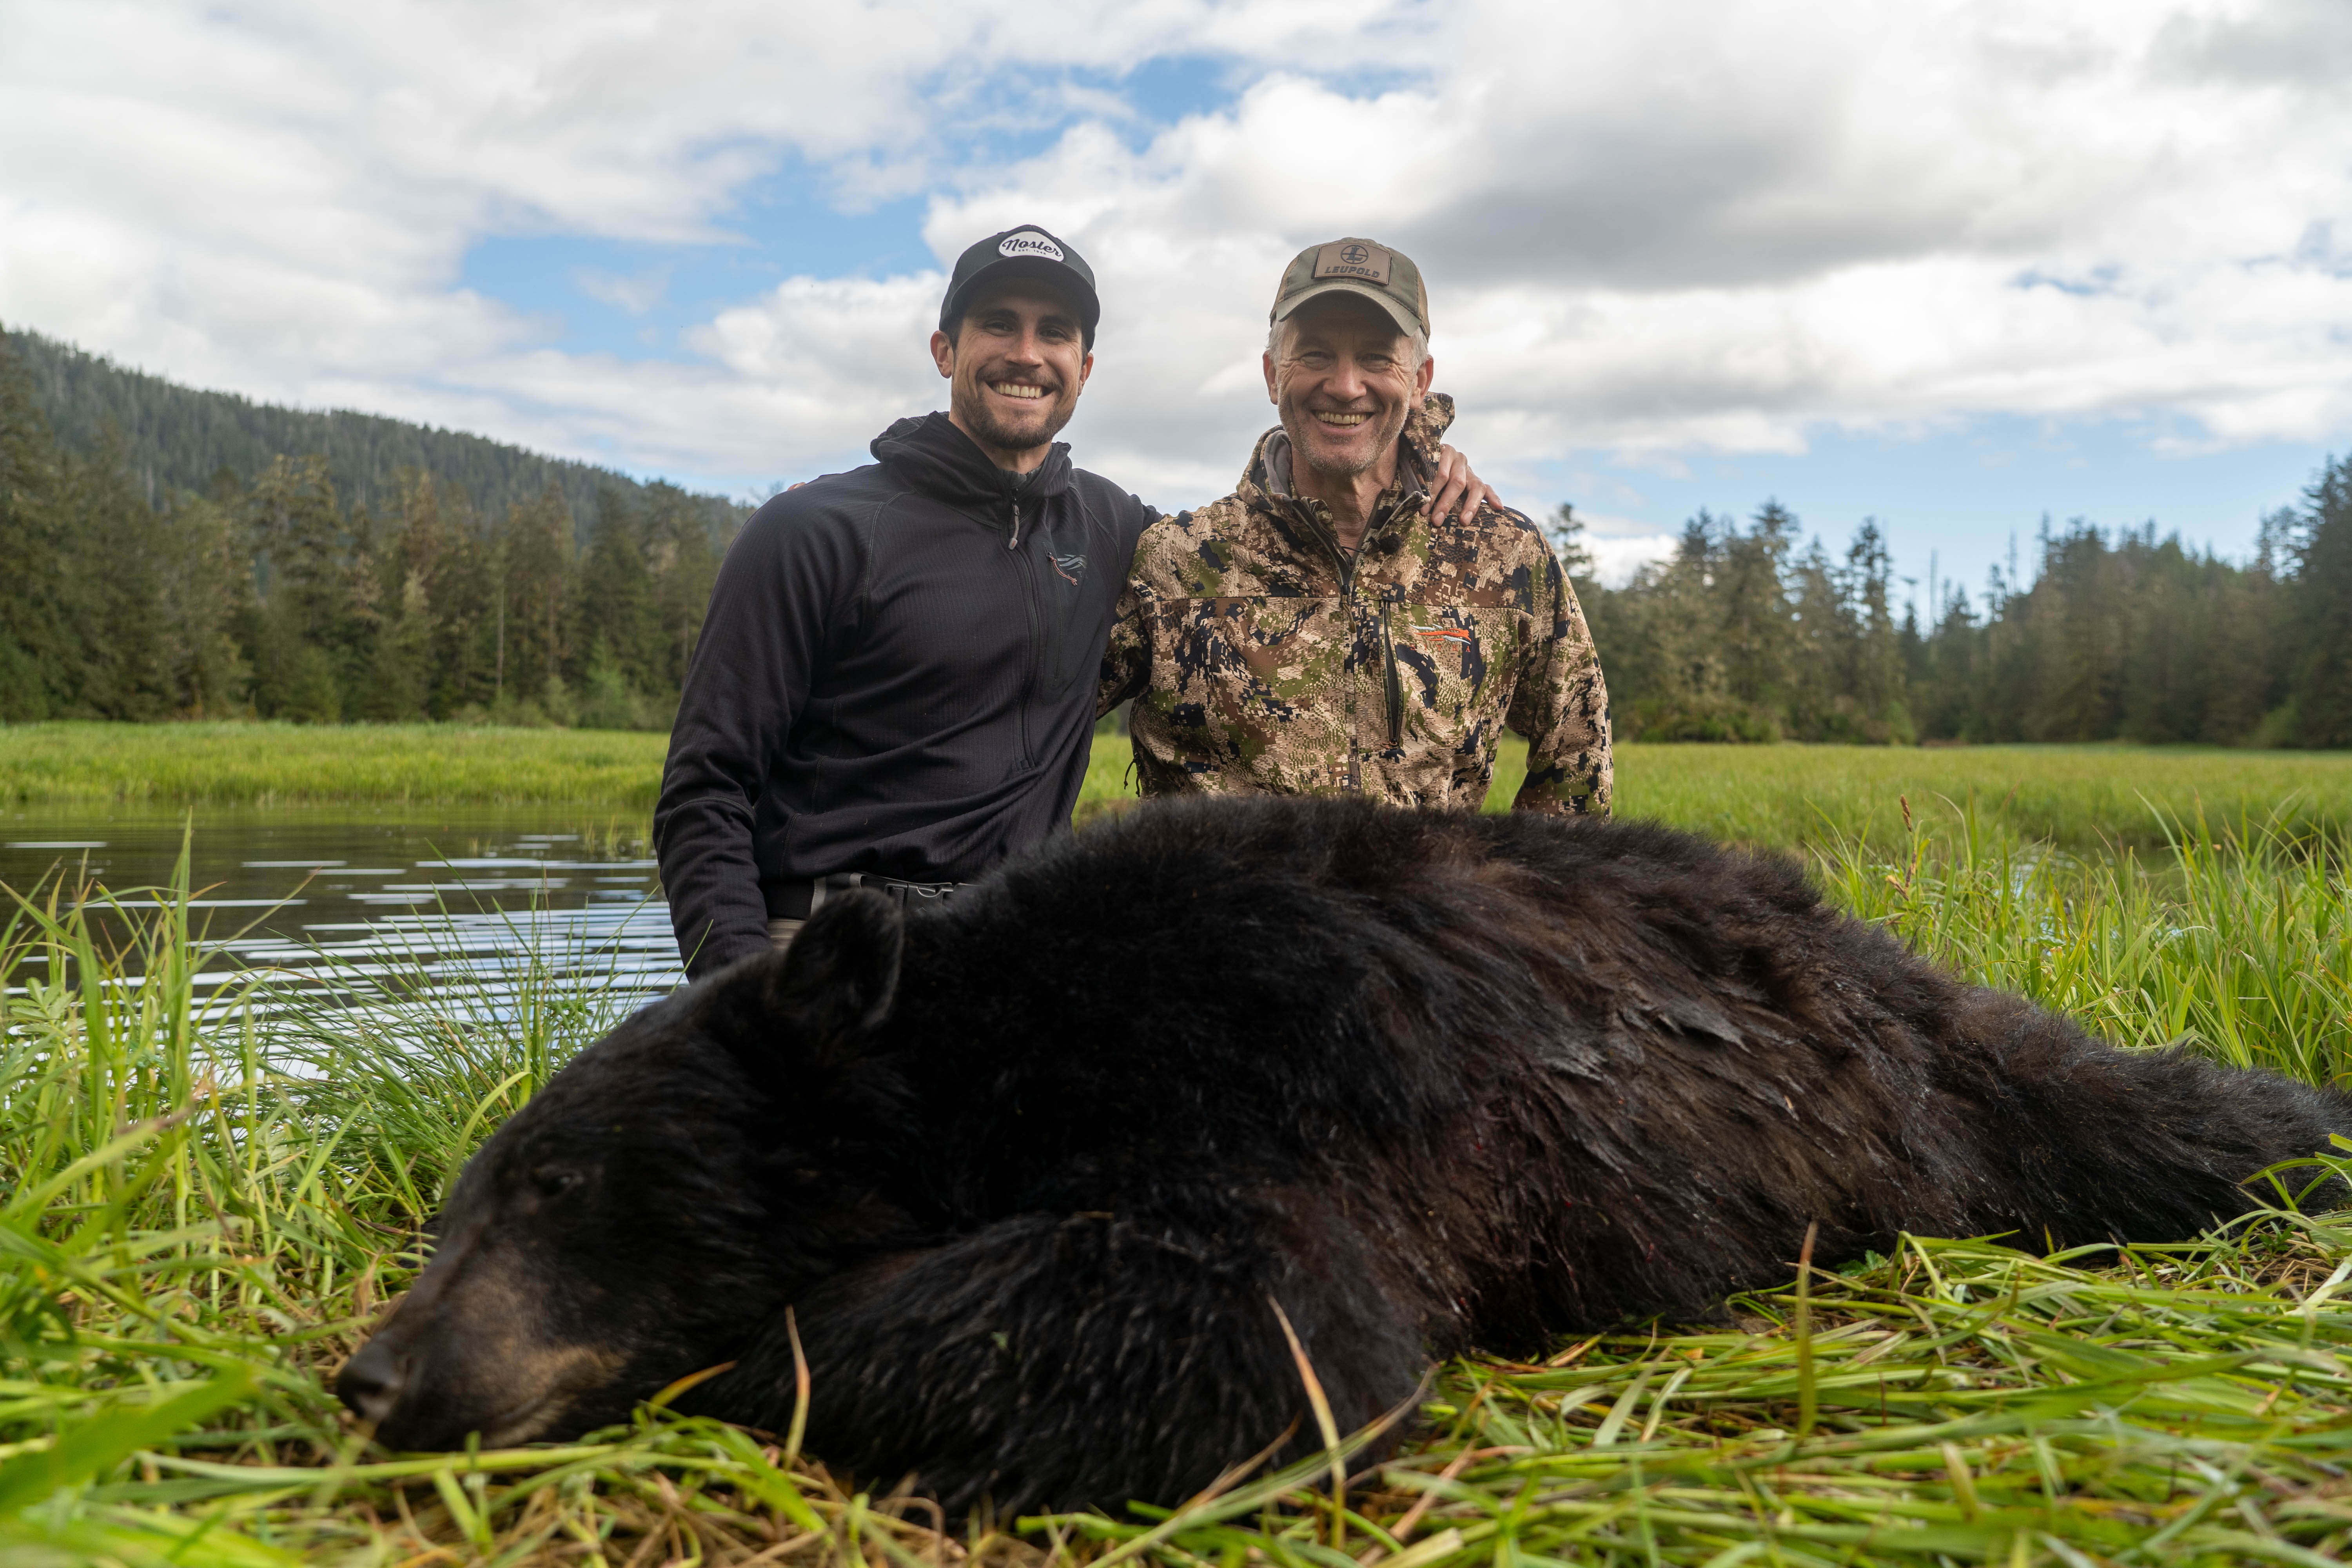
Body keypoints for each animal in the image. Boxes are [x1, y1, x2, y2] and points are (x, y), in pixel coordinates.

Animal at [337, 796, 2351, 1514]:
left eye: (551, 1185)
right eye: (452, 1203)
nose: (373, 1370)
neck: (1005, 1047)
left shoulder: (1306, 1070)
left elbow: (1259, 1332)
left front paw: (775, 1351)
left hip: (1941, 1087)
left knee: (2144, 1112)